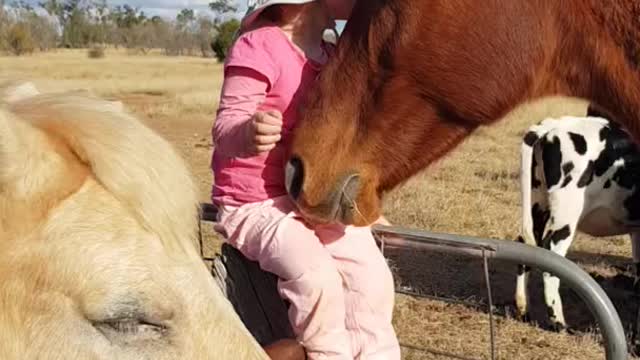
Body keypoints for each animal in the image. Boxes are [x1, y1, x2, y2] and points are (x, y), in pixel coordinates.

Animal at [512, 109, 640, 330]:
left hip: (537, 202)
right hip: (566, 213)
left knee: (526, 244)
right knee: (551, 250)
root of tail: (552, 124)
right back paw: (559, 322)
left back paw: (523, 310)